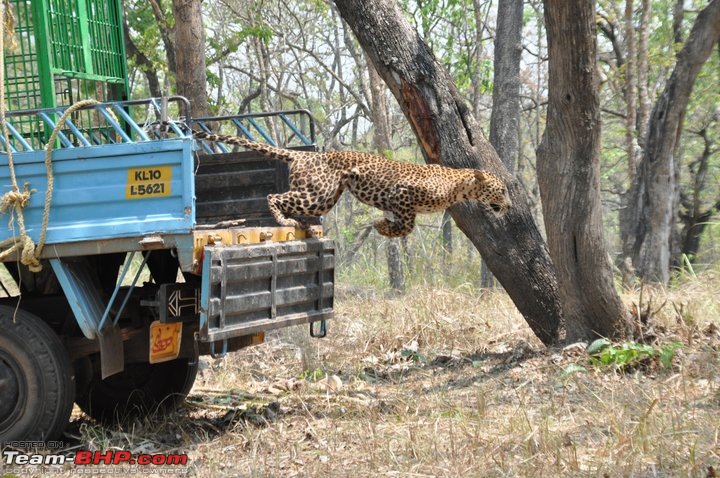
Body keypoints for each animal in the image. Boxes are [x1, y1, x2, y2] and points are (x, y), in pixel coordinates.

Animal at [190, 131, 506, 237]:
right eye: (502, 190)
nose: (510, 204)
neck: (459, 187)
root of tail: (303, 154)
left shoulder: (398, 203)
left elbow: (403, 224)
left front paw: (383, 226)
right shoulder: (401, 193)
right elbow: (407, 225)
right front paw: (383, 227)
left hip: (324, 198)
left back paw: (302, 225)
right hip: (319, 194)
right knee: (272, 196)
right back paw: (285, 222)